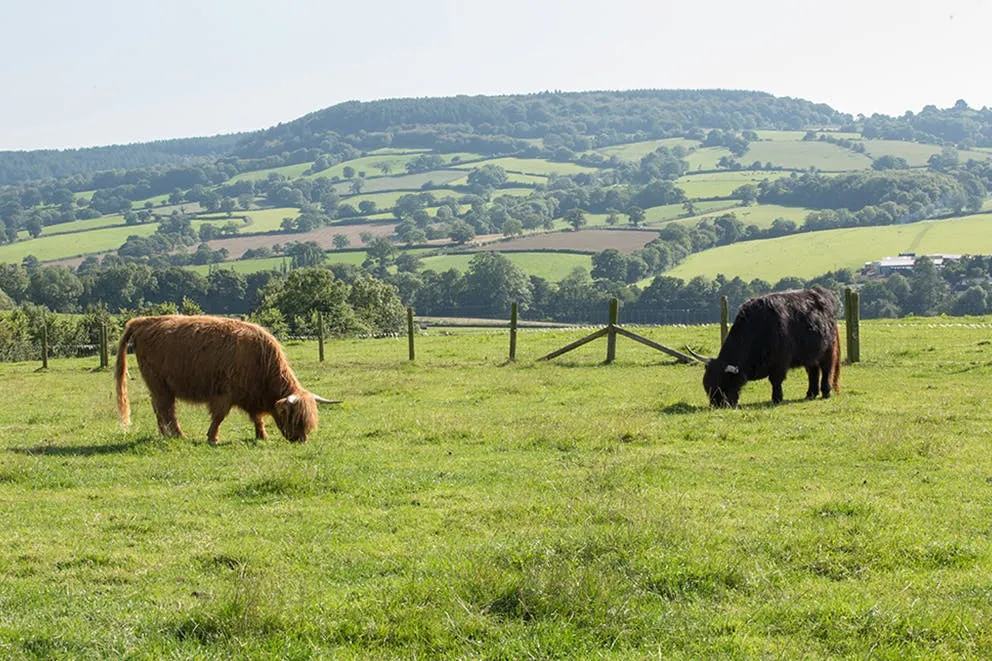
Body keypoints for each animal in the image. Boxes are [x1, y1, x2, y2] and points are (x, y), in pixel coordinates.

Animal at [115, 315, 338, 444]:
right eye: (294, 418)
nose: (301, 440)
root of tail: (141, 321)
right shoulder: (224, 394)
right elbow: (219, 417)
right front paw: (212, 438)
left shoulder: (251, 396)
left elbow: (257, 417)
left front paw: (262, 435)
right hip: (159, 384)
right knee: (166, 410)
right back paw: (178, 435)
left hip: (158, 387)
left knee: (159, 409)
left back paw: (164, 435)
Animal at [687, 287, 841, 407]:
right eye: (707, 385)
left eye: (723, 383)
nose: (717, 405)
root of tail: (822, 292)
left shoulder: (780, 361)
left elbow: (775, 380)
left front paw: (776, 399)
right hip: (811, 354)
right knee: (813, 371)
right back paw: (810, 394)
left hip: (828, 351)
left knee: (826, 369)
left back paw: (826, 392)